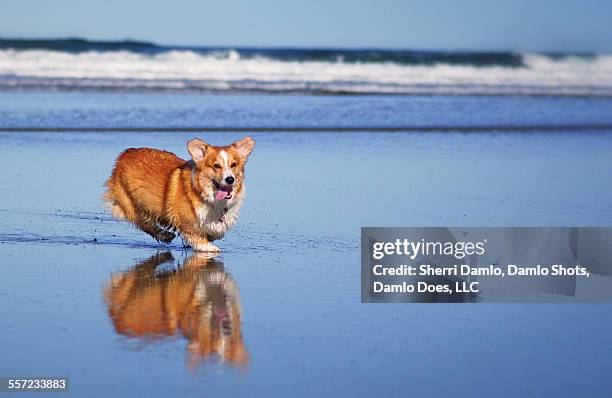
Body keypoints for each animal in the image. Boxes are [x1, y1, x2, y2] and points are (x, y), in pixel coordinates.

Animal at [105, 135, 256, 250]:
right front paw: (209, 247)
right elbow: (197, 236)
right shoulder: (187, 222)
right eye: (216, 166)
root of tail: (124, 154)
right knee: (143, 223)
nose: (230, 179)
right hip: (129, 202)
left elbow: (217, 233)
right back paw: (164, 235)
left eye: (234, 165)